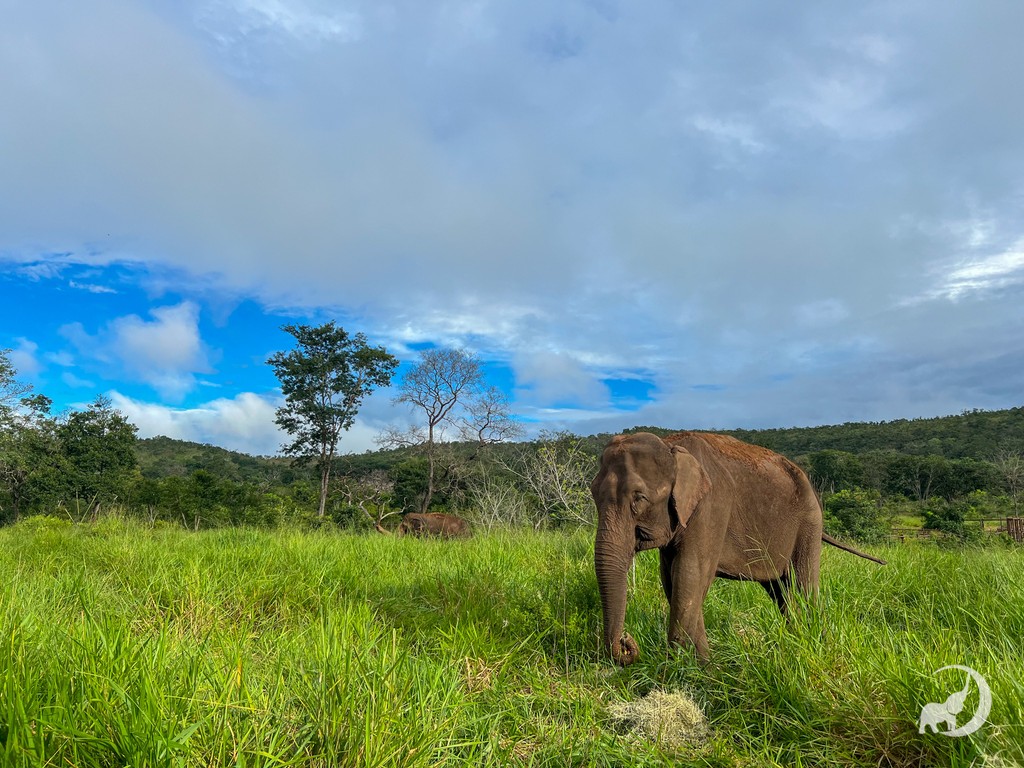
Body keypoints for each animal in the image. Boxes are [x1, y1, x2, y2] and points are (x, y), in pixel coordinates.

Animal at [593, 434, 888, 667]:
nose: (626, 640)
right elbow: (673, 581)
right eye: (594, 495)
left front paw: (681, 672)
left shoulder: (712, 507)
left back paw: (814, 645)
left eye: (639, 498)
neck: (671, 444)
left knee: (803, 585)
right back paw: (796, 643)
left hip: (810, 523)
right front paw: (705, 668)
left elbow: (690, 575)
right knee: (781, 591)